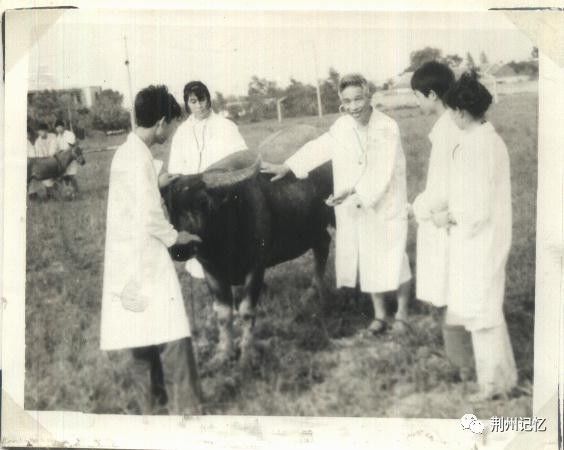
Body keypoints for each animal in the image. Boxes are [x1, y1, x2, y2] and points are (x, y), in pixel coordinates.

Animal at [161, 124, 332, 366]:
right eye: (168, 204)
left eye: (204, 202)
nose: (179, 247)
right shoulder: (211, 270)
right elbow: (223, 314)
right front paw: (223, 353)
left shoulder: (256, 266)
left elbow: (246, 310)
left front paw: (247, 354)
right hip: (314, 227)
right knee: (323, 244)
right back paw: (313, 292)